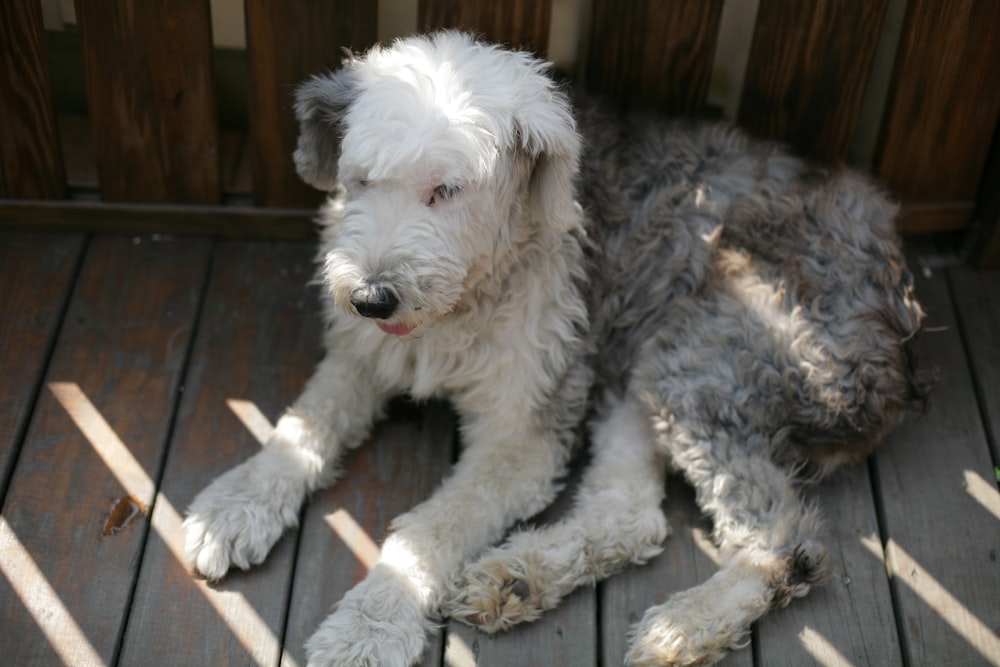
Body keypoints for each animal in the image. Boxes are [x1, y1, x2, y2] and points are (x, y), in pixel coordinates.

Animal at [184, 28, 924, 664]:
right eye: (361, 179)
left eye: (445, 190)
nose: (371, 298)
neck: (463, 303)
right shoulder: (362, 358)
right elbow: (303, 425)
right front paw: (232, 510)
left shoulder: (524, 431)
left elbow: (434, 526)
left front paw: (368, 629)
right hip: (640, 371)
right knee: (632, 515)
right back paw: (520, 577)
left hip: (705, 362)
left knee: (785, 540)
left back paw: (684, 626)